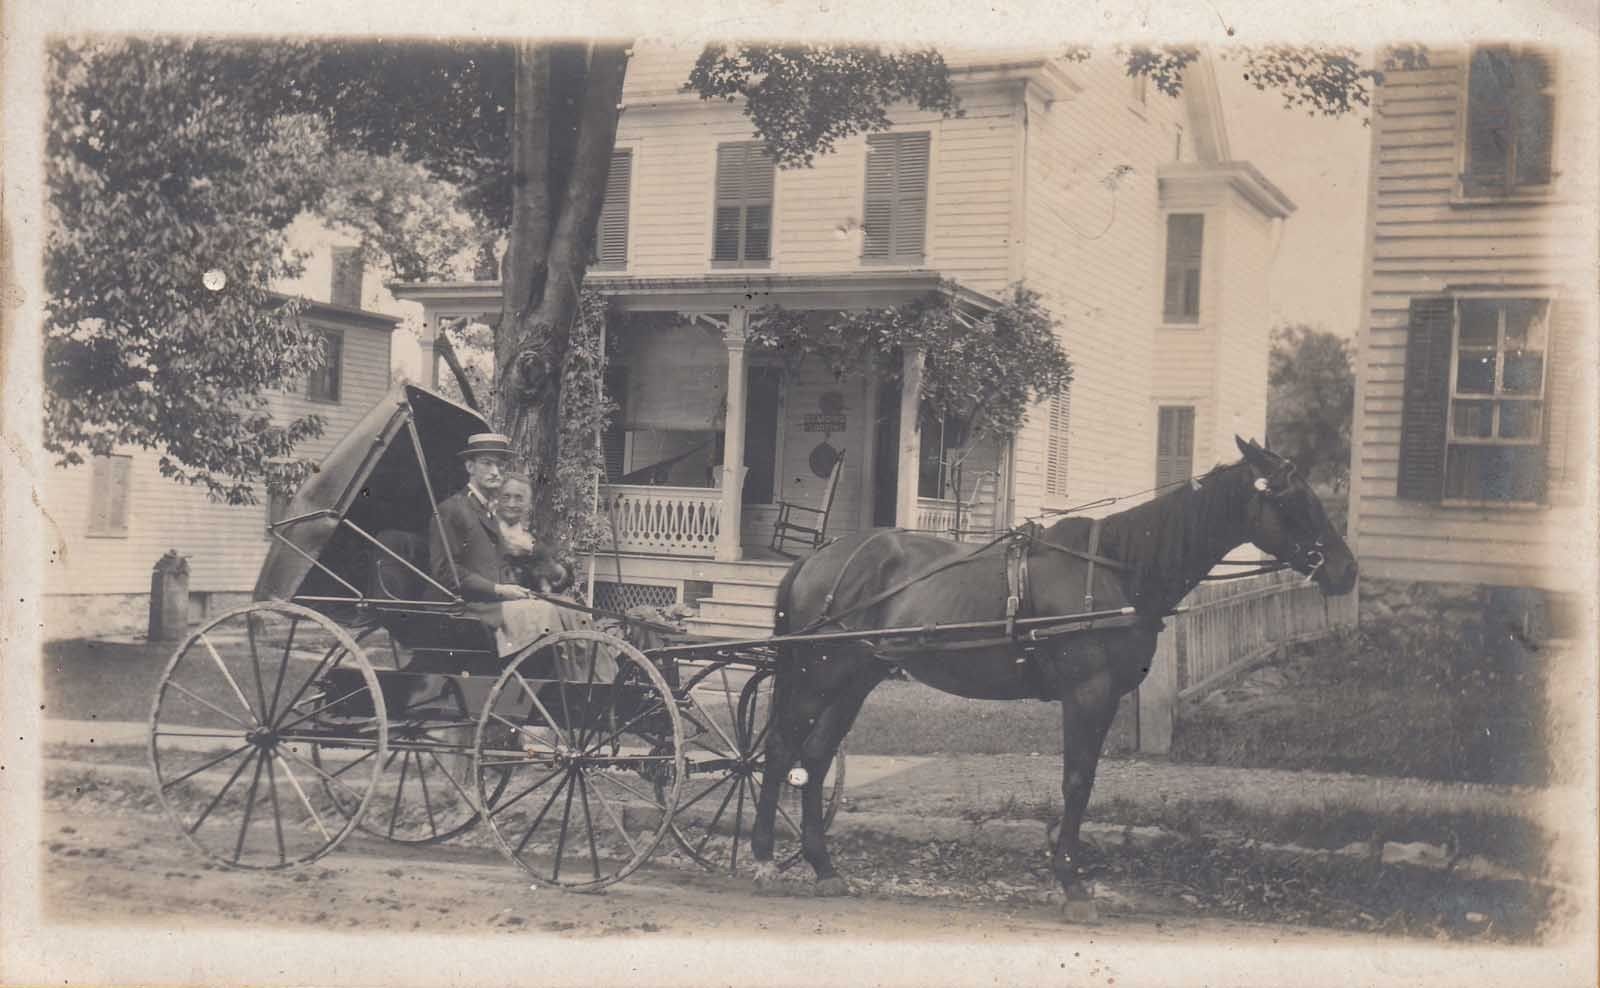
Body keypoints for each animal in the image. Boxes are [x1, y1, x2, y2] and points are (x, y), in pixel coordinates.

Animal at [745, 431, 1350, 914]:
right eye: (1293, 497)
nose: (1347, 569)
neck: (1117, 571)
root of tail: (819, 557)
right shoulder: (1088, 693)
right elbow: (1077, 781)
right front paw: (1070, 881)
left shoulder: (1102, 698)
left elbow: (1084, 780)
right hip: (820, 675)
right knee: (778, 751)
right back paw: (764, 859)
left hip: (855, 678)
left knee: (814, 757)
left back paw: (823, 867)